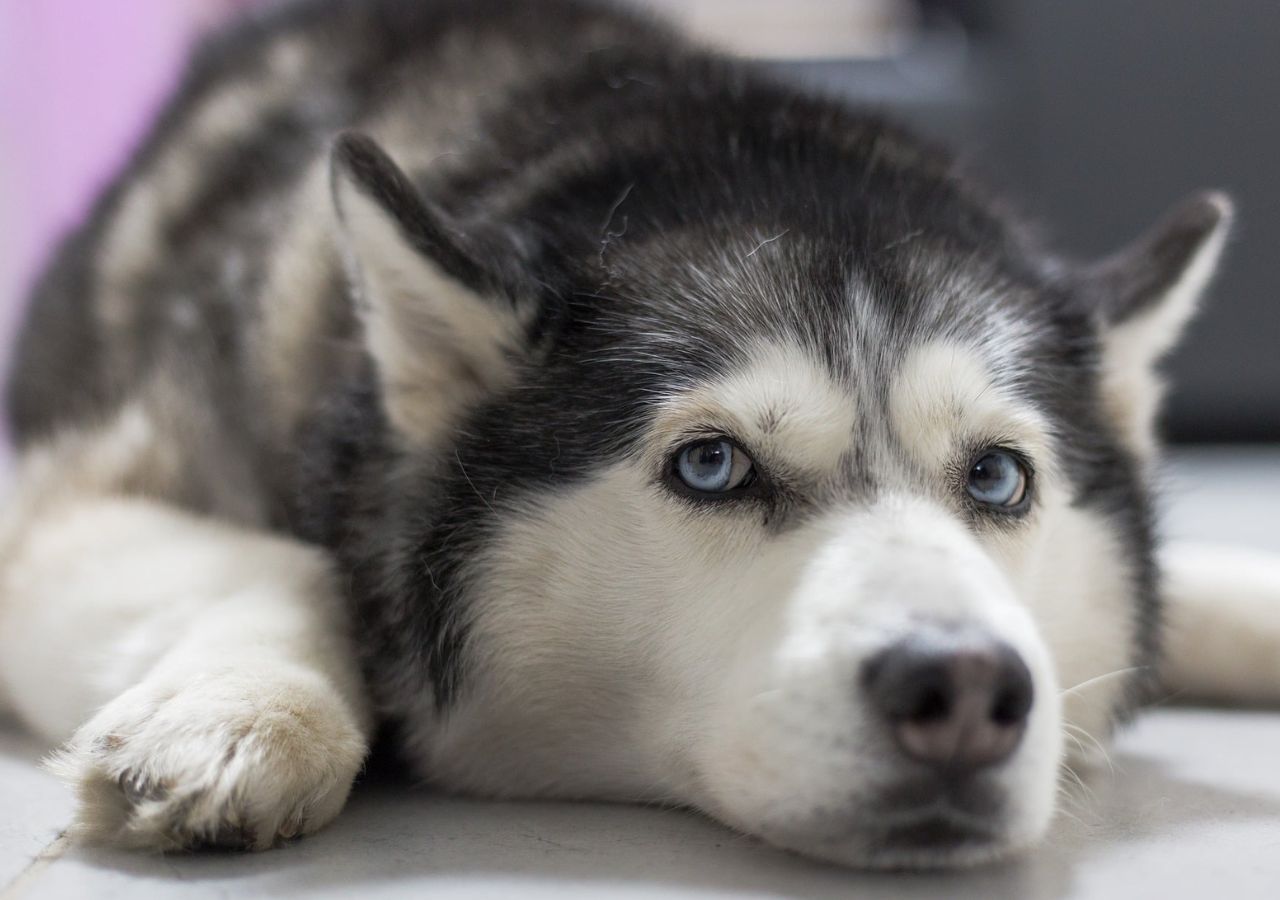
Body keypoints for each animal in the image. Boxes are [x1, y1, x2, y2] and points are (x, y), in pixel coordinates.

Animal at [0, 0, 1274, 870]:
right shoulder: (53, 498)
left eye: (998, 478)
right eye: (710, 464)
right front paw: (238, 712)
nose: (961, 688)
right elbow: (294, 563)